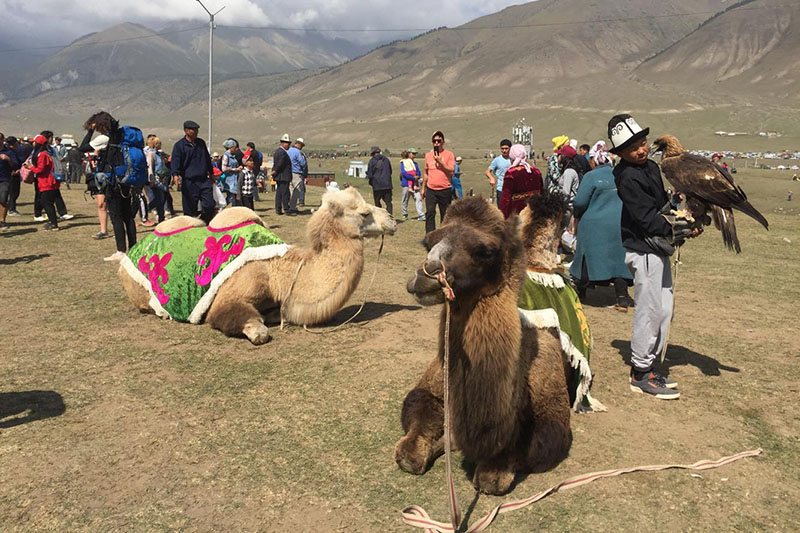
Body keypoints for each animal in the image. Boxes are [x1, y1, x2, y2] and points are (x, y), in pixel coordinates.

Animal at [119, 188, 396, 344]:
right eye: (363, 213)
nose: (392, 220)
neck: (278, 272)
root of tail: (126, 255)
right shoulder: (231, 294)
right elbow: (251, 326)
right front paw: (257, 330)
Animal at [396, 196, 572, 494]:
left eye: (486, 251)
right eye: (428, 243)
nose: (426, 275)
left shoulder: (553, 417)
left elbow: (531, 446)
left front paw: (493, 471)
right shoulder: (433, 385)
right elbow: (419, 409)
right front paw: (414, 451)